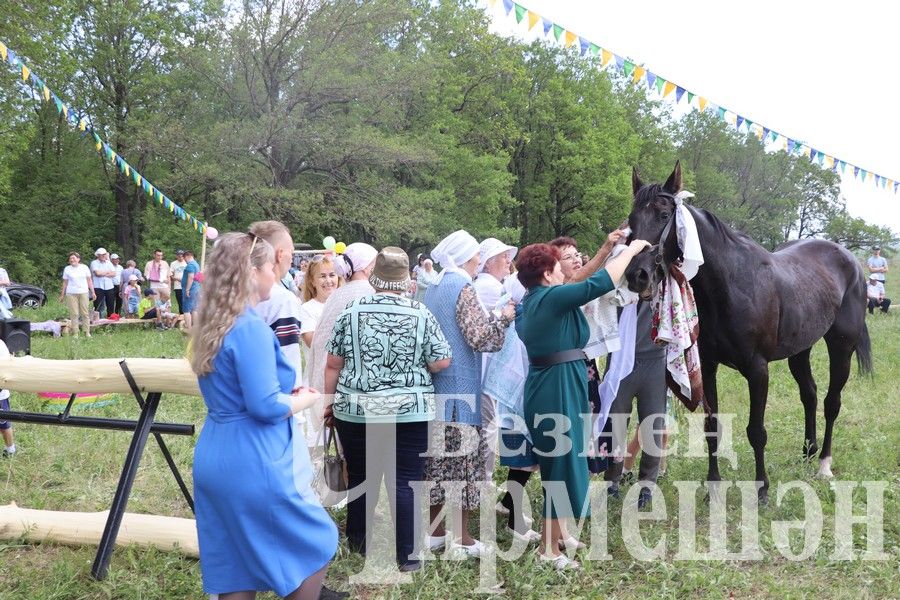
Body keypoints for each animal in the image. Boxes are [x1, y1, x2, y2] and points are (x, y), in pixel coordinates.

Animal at [624, 163, 868, 502]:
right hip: (800, 351)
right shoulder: (708, 366)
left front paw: (762, 489)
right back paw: (807, 452)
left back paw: (823, 465)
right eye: (632, 219)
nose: (637, 275)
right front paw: (713, 486)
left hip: (841, 348)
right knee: (809, 394)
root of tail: (851, 261)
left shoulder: (757, 369)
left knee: (832, 402)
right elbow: (711, 426)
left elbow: (756, 431)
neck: (730, 284)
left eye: (662, 215)